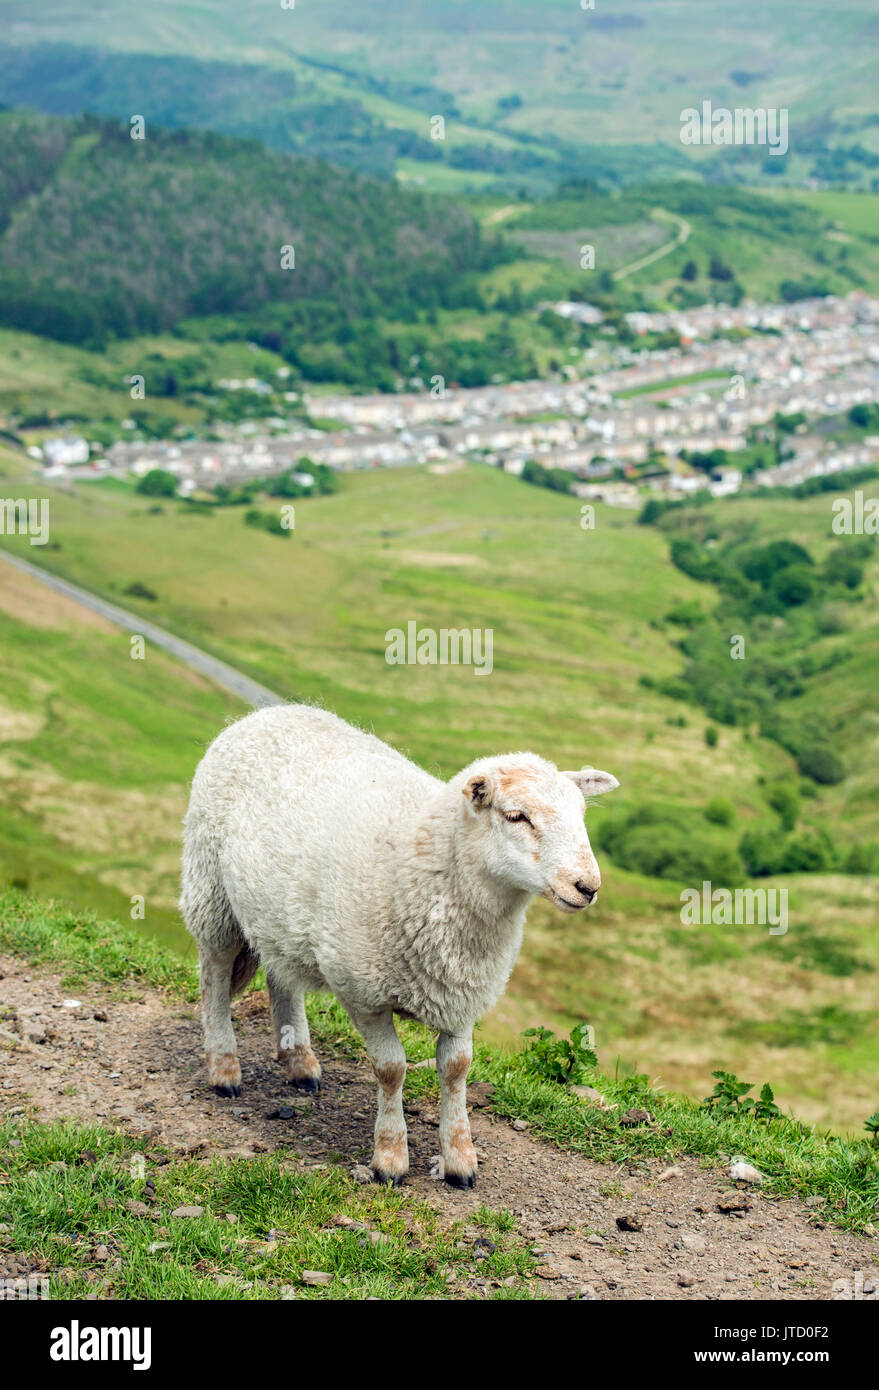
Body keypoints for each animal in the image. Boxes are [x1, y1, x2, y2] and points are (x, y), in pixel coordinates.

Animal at [181, 703, 619, 1188]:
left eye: (581, 814)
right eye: (516, 817)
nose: (588, 887)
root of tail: (268, 712)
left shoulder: (462, 991)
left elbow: (457, 1069)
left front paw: (459, 1159)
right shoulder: (363, 992)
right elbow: (391, 1069)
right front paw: (390, 1157)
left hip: (280, 919)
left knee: (282, 978)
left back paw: (299, 1063)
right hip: (211, 889)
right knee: (214, 976)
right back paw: (224, 1068)